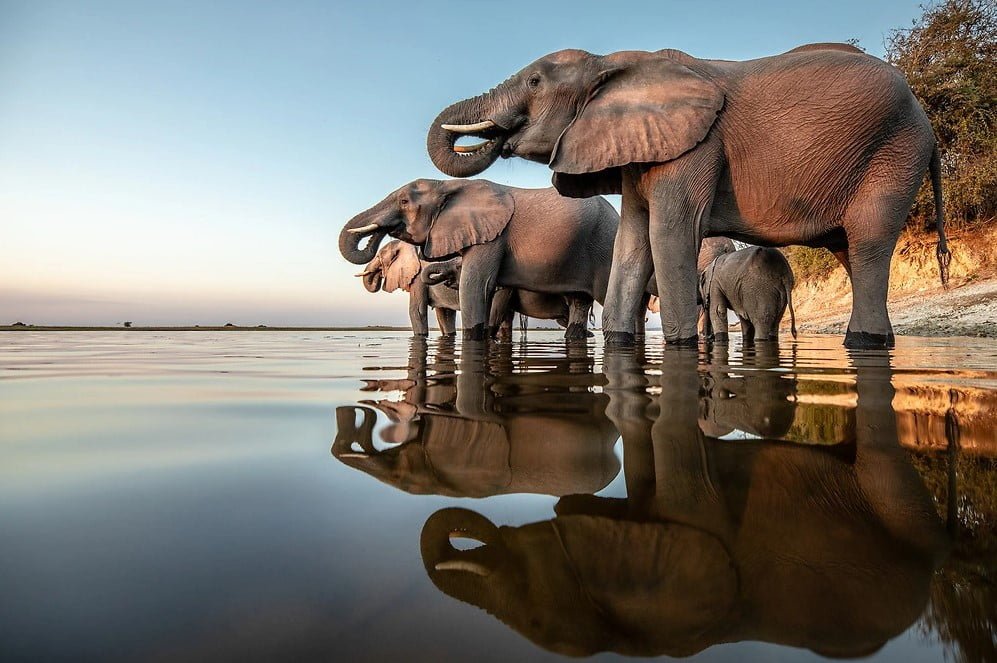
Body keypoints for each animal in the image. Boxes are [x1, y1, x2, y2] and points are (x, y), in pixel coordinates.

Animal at [344, 179, 624, 340]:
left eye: (404, 201)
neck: (447, 185)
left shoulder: (492, 238)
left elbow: (475, 288)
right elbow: (445, 314)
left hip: (605, 244)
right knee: (579, 302)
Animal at [426, 44, 948, 350]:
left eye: (535, 82)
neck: (610, 63)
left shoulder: (697, 147)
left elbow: (670, 233)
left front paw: (679, 347)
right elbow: (633, 243)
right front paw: (620, 343)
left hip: (894, 154)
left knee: (869, 244)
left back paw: (865, 342)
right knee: (848, 251)